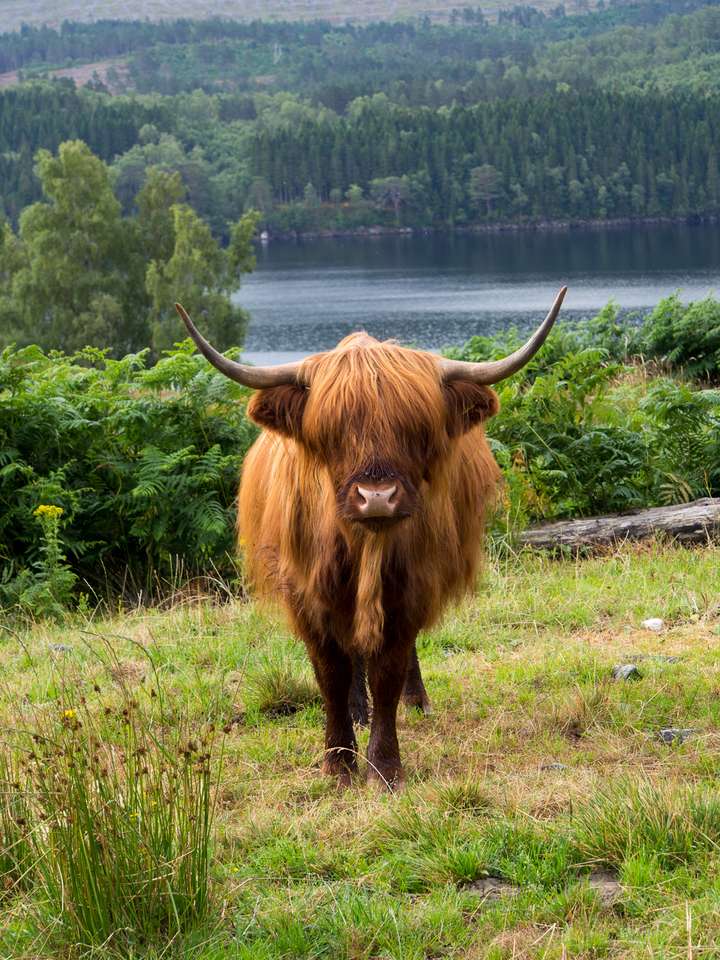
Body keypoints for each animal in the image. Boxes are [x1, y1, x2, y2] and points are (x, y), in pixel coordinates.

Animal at [175, 288, 566, 789]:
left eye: (417, 429)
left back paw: (415, 702)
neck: (362, 546)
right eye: (331, 432)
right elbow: (332, 674)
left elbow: (388, 671)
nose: (376, 497)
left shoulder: (409, 589)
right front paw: (339, 763)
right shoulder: (307, 593)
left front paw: (384, 768)